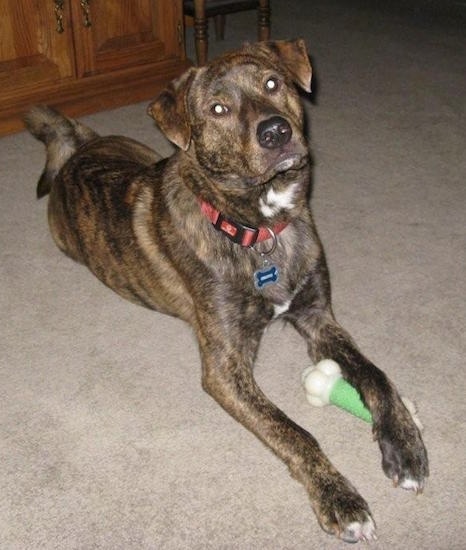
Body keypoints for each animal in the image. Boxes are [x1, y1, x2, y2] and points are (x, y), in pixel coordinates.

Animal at [24, 41, 426, 544]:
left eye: (273, 83)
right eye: (218, 109)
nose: (276, 131)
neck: (259, 227)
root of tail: (76, 153)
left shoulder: (318, 316)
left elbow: (375, 375)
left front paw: (405, 443)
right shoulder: (224, 368)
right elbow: (291, 431)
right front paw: (339, 497)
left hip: (146, 152)